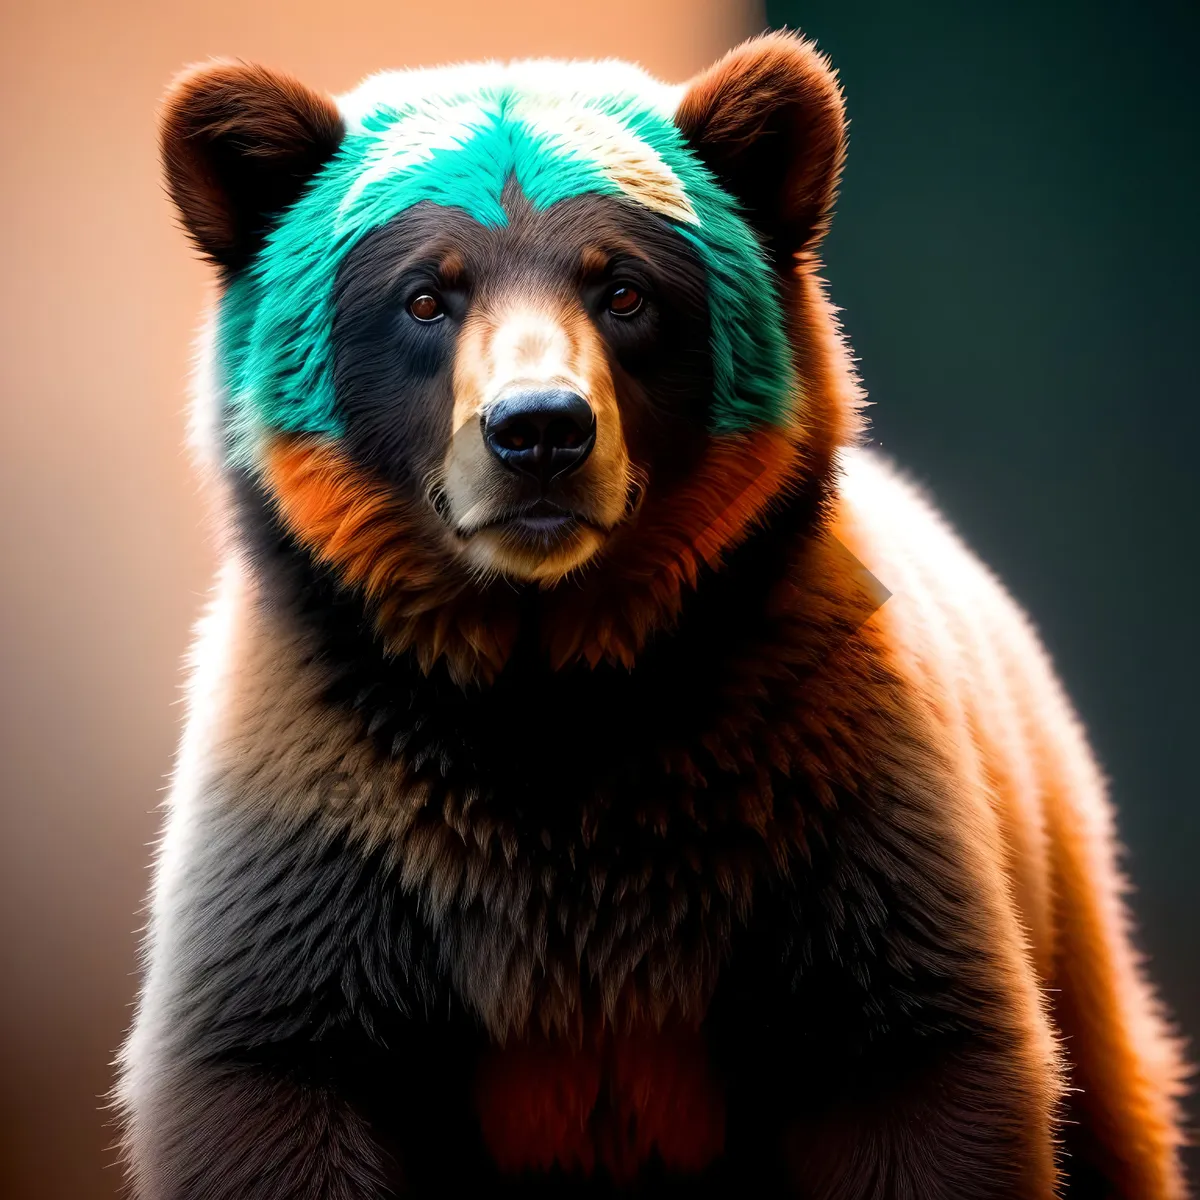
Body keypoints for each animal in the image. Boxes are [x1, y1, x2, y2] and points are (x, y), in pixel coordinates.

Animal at [114, 32, 1190, 1195]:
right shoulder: (329, 821)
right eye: (426, 296)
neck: (557, 674)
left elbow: (914, 1058)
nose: (539, 430)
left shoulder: (827, 803)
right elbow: (274, 1063)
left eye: (623, 289)